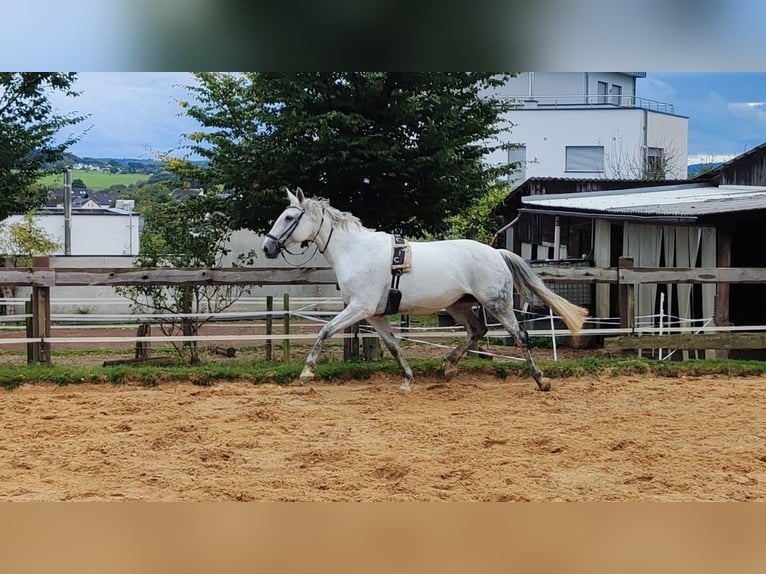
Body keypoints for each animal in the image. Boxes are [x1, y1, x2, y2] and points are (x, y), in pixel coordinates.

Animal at [262, 188, 588, 392]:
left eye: (289, 217)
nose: (267, 247)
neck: (356, 251)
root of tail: (497, 253)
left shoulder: (359, 308)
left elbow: (325, 331)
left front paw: (306, 372)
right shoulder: (375, 315)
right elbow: (393, 345)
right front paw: (407, 379)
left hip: (497, 303)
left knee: (519, 335)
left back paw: (541, 380)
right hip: (459, 305)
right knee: (477, 330)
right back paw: (449, 367)